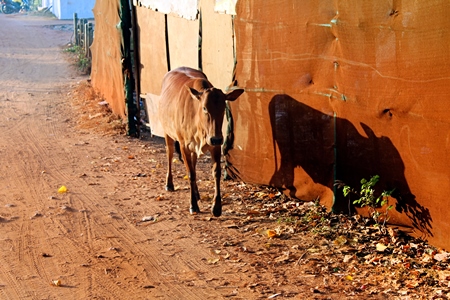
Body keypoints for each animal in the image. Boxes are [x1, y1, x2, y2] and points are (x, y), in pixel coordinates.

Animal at [158, 67, 243, 217]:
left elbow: (216, 172)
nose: (215, 138)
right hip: (167, 132)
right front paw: (193, 205)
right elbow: (190, 174)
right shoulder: (184, 145)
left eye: (223, 108)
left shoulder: (215, 145)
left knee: (193, 163)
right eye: (204, 108)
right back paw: (169, 183)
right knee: (169, 154)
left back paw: (197, 193)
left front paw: (216, 207)